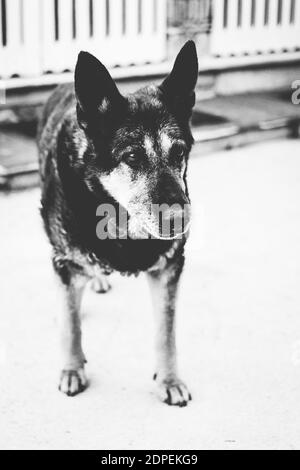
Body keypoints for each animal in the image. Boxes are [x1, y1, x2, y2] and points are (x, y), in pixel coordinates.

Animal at [38, 41, 199, 408]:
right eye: (132, 157)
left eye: (179, 153)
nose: (179, 220)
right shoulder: (64, 263)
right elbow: (70, 326)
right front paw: (72, 369)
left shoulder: (168, 270)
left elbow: (166, 333)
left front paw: (169, 379)